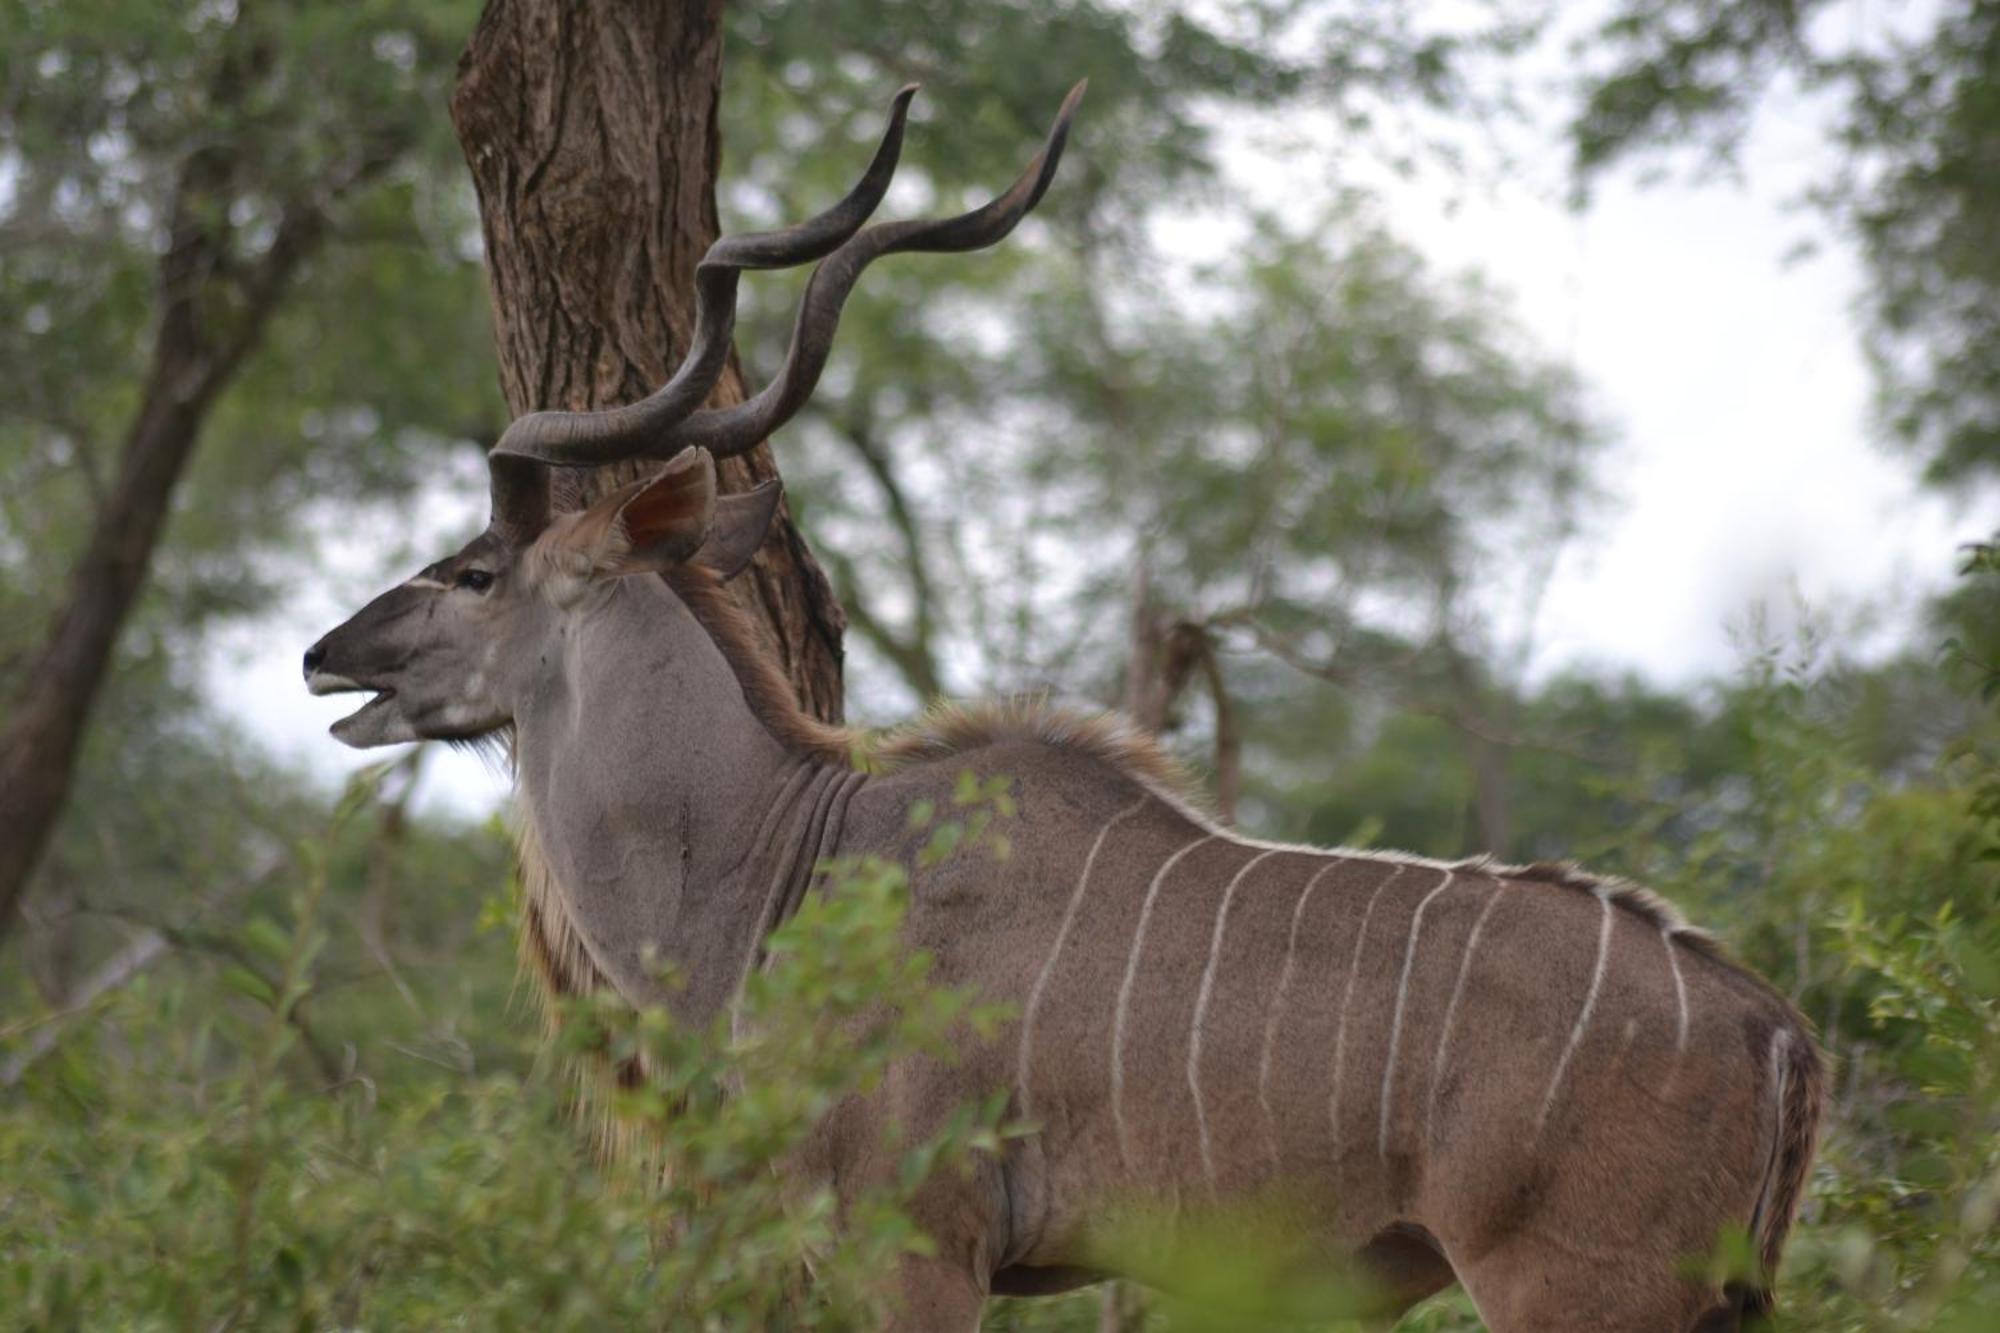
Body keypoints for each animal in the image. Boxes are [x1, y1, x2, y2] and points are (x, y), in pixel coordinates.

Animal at [308, 88, 1832, 1320]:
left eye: (476, 570)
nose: (326, 657)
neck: (782, 860)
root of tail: (1775, 1031)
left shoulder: (914, 1247)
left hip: (1571, 1290)